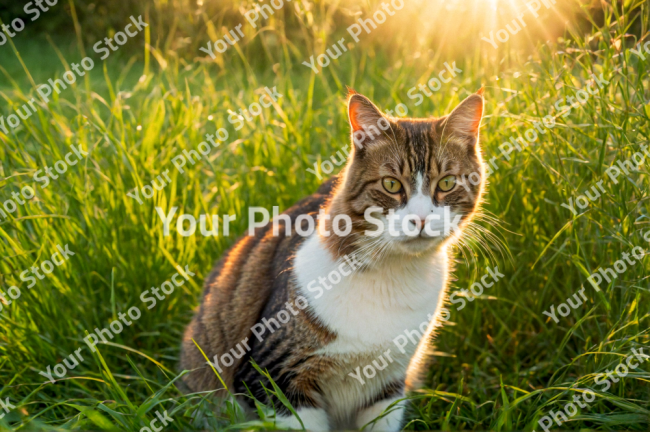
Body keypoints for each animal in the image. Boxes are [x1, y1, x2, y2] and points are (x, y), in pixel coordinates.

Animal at [180, 89, 484, 430]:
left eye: (447, 183)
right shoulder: (275, 377)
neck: (395, 272)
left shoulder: (388, 385)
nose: (419, 220)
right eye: (391, 184)